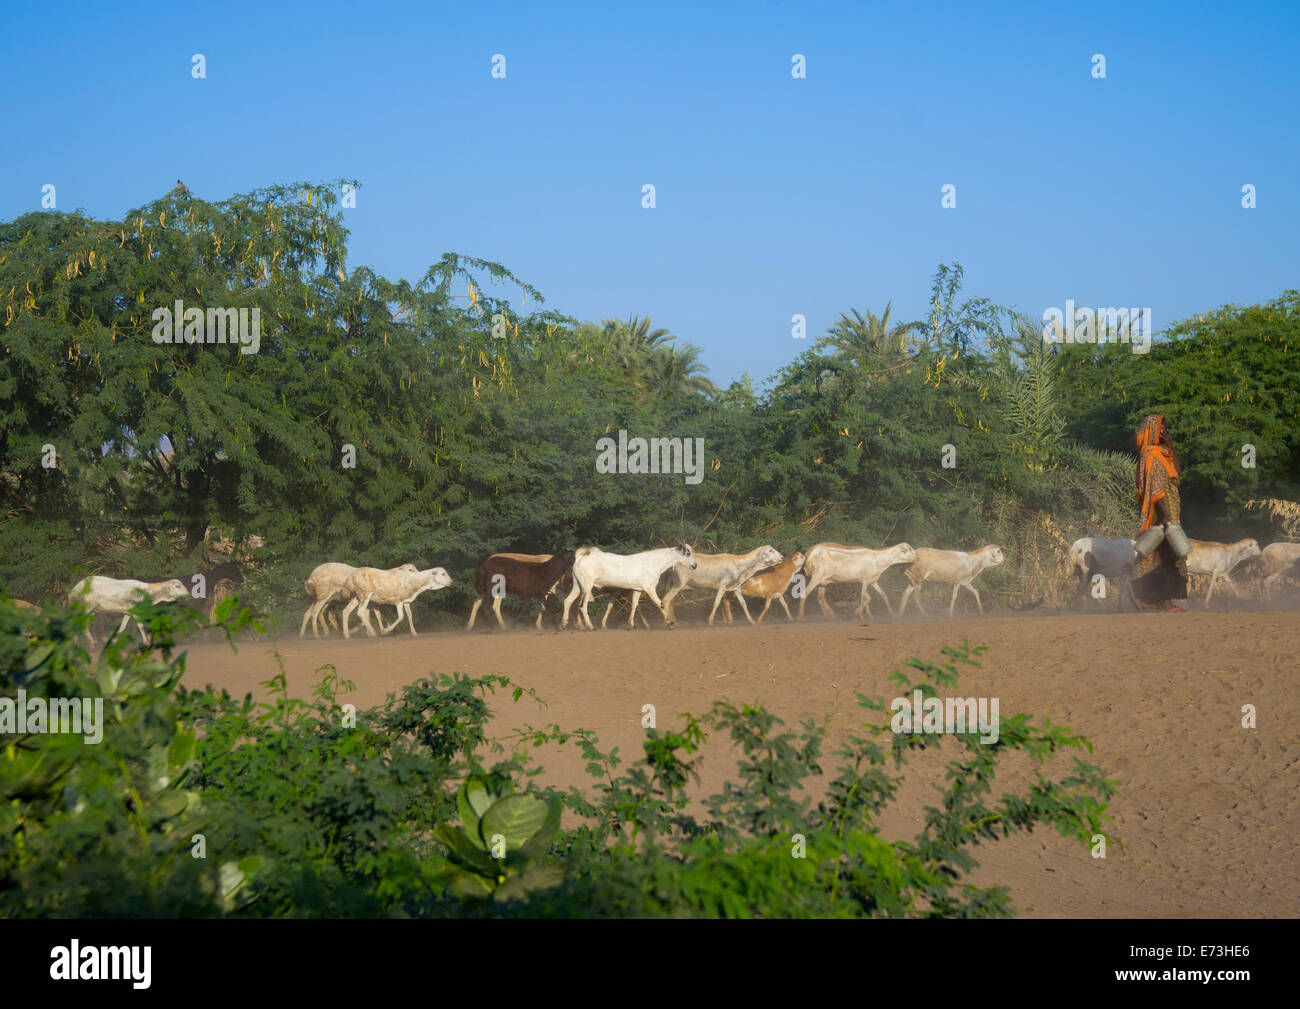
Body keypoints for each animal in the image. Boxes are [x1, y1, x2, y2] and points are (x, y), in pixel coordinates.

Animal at [561, 543, 696, 629]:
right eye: (688, 553)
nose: (695, 565)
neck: (653, 563)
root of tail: (581, 556)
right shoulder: (649, 588)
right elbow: (660, 604)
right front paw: (669, 623)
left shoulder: (638, 589)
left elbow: (635, 606)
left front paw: (631, 624)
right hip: (587, 586)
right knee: (582, 606)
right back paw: (590, 626)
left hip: (578, 585)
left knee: (567, 601)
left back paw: (563, 624)